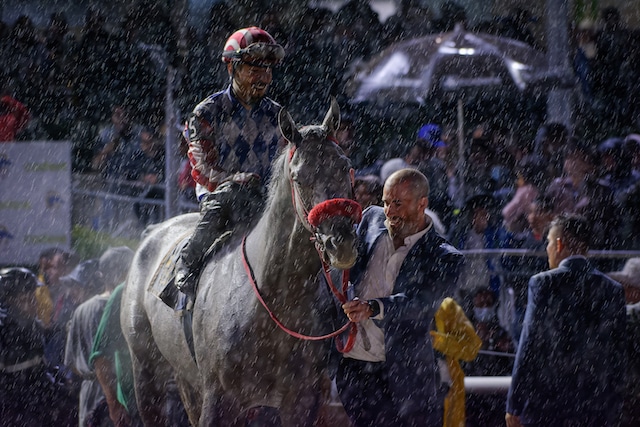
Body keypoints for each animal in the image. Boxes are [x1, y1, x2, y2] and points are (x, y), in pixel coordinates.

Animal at [120, 98, 360, 426]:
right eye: (299, 177)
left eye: (345, 167)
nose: (341, 243)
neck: (276, 299)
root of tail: (151, 233)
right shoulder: (218, 399)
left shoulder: (302, 400)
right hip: (146, 372)